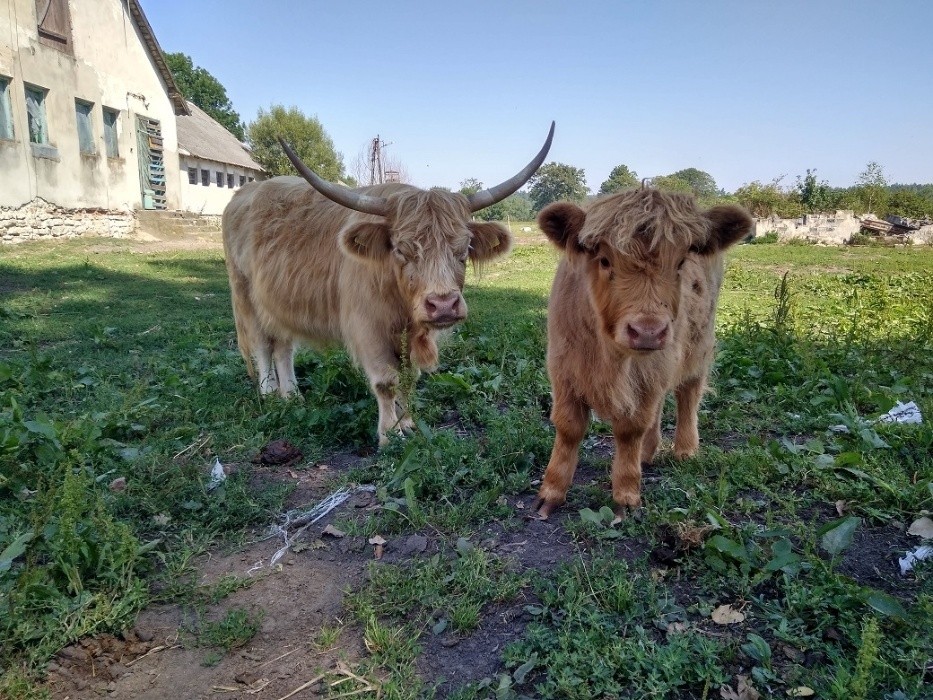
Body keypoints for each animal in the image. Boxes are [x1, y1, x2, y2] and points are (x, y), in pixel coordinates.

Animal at [222, 123, 554, 446]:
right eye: (401, 250)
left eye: (463, 249)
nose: (443, 305)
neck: (402, 307)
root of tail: (247, 192)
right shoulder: (367, 327)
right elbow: (386, 381)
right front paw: (388, 434)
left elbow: (408, 378)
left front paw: (407, 423)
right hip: (244, 294)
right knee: (261, 344)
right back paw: (268, 393)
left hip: (278, 301)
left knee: (283, 346)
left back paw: (291, 395)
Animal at [531, 187, 753, 518]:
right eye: (604, 260)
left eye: (681, 261)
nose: (648, 331)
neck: (610, 357)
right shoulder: (564, 369)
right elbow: (569, 428)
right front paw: (552, 491)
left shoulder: (651, 370)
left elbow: (630, 429)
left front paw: (625, 494)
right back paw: (648, 452)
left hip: (697, 347)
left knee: (688, 393)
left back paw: (685, 449)